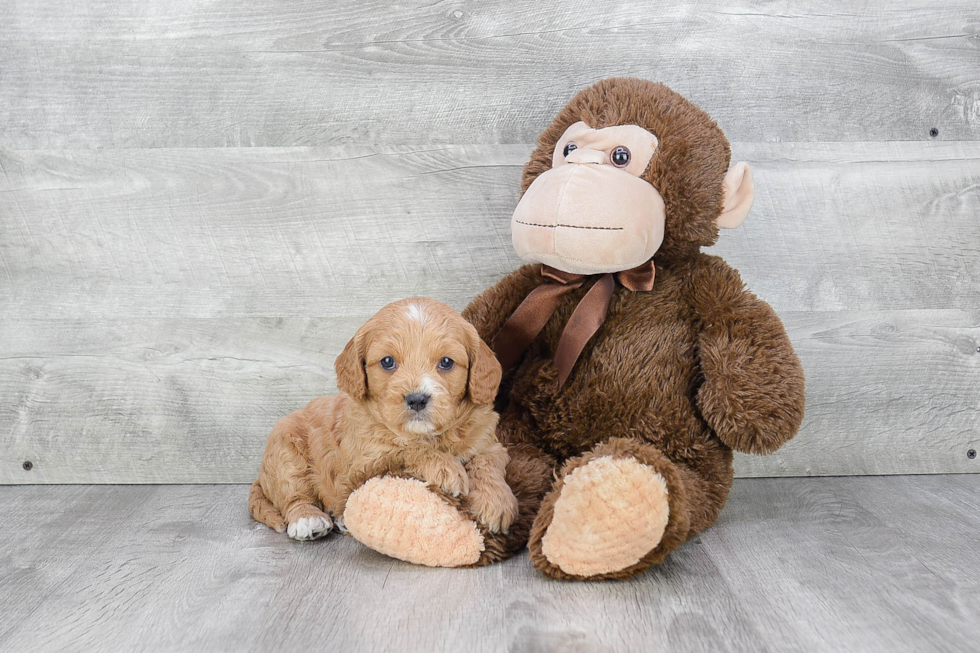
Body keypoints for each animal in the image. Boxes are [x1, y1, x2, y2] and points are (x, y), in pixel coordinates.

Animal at [247, 296, 520, 540]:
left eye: (446, 362)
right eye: (387, 361)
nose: (417, 399)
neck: (429, 435)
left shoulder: (488, 441)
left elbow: (487, 462)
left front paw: (496, 502)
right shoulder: (364, 463)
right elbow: (405, 449)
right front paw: (446, 468)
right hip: (285, 452)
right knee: (293, 495)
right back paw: (309, 519)